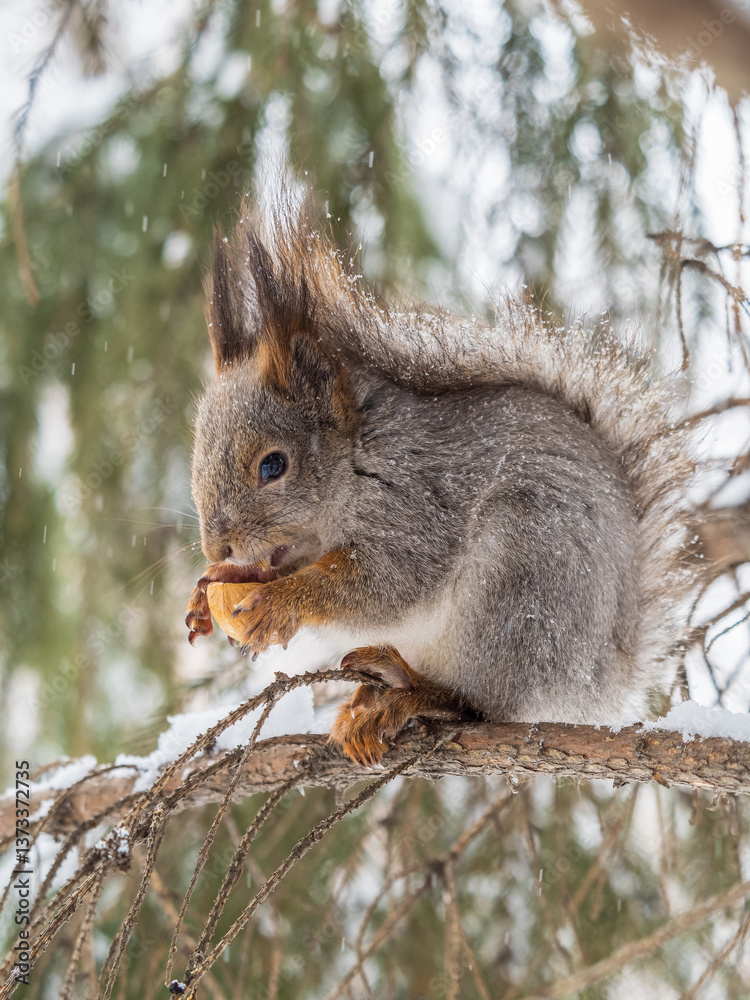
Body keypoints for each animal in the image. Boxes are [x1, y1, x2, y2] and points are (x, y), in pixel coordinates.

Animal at [185, 194, 695, 766]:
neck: (357, 459)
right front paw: (209, 591)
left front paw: (281, 601)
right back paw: (379, 689)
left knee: (481, 703)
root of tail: (602, 674)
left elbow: (384, 583)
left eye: (273, 465)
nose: (218, 547)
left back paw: (415, 697)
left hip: (521, 580)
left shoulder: (416, 501)